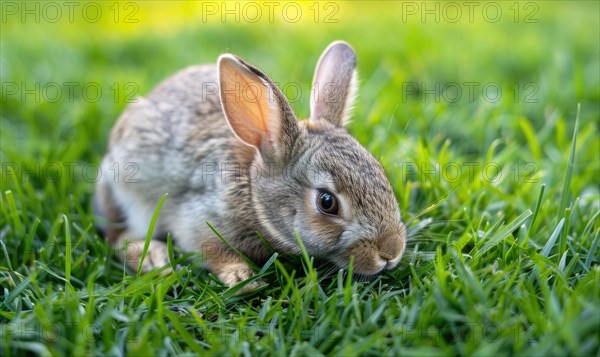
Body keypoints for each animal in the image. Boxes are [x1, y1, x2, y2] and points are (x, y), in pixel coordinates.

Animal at [95, 40, 408, 288]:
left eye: (382, 175)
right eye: (327, 202)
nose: (390, 252)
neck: (252, 192)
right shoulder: (199, 218)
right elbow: (211, 250)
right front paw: (242, 278)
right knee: (117, 237)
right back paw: (153, 257)